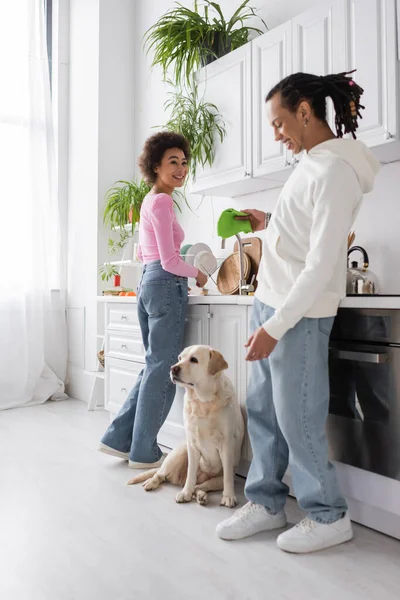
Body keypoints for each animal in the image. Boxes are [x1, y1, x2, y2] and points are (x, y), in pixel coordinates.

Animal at [128, 344, 245, 508]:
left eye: (194, 359)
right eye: (179, 358)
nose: (173, 368)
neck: (203, 401)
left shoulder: (226, 445)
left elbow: (227, 477)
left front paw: (228, 496)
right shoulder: (192, 444)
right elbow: (191, 474)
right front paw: (185, 493)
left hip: (216, 480)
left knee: (200, 486)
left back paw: (201, 496)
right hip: (178, 454)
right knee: (160, 473)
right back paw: (152, 482)